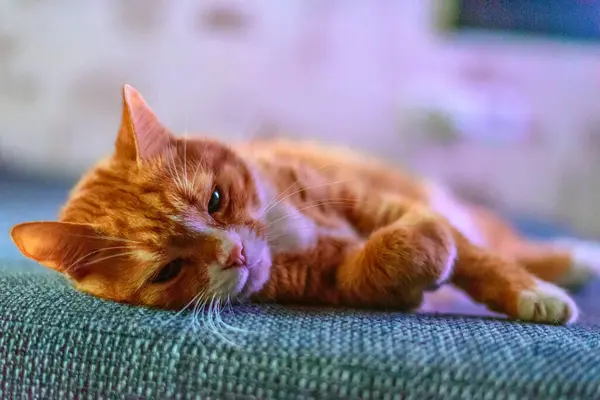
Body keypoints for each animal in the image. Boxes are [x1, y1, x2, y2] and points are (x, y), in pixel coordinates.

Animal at [9, 85, 600, 324]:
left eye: (216, 200)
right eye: (169, 271)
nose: (234, 255)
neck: (282, 226)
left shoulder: (369, 201)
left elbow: (477, 258)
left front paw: (532, 295)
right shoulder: (336, 280)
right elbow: (392, 259)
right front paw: (420, 257)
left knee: (504, 242)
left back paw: (573, 260)